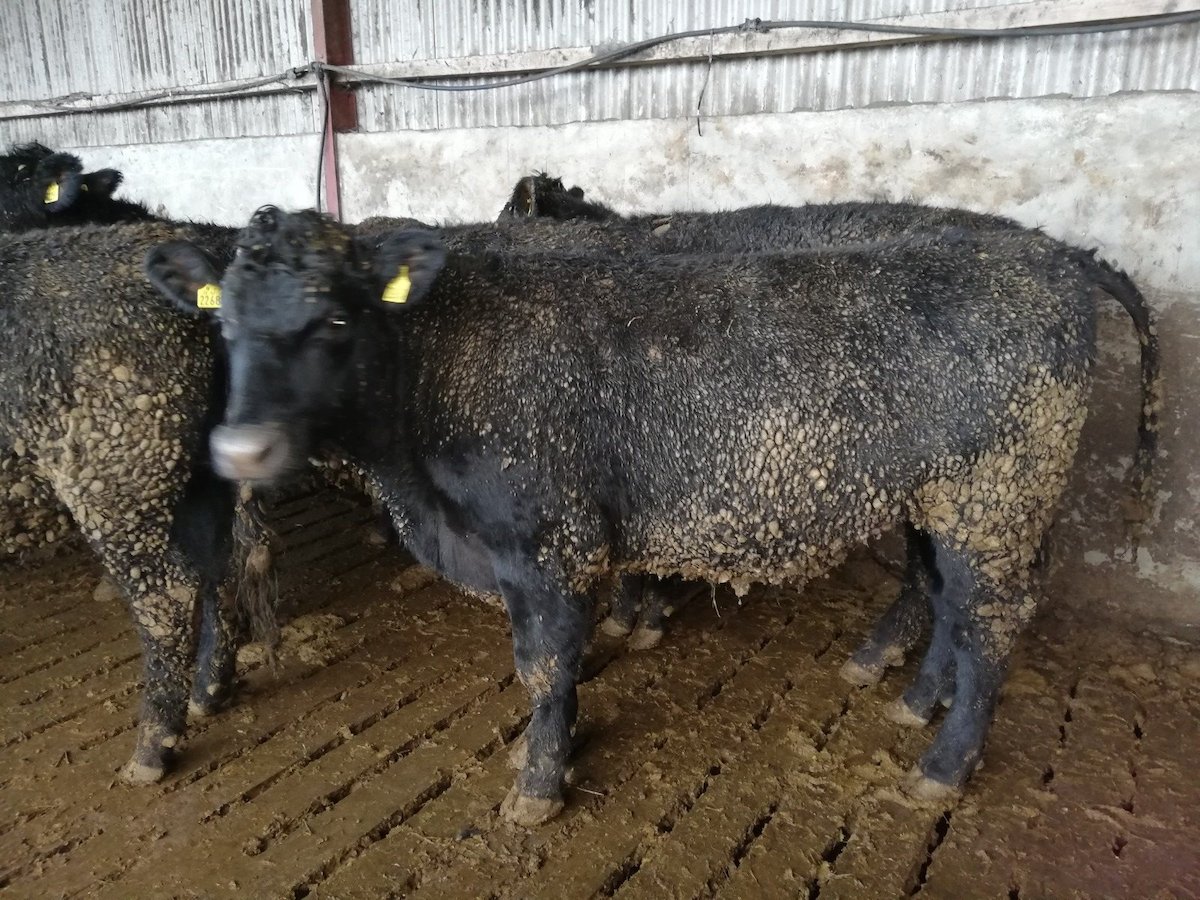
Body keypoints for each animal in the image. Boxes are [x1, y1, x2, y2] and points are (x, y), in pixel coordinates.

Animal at [149, 207, 1119, 825]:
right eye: (223, 326)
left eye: (336, 318)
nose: (240, 451)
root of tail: (1053, 259)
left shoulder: (552, 539)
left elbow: (544, 665)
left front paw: (538, 786)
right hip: (951, 505)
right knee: (952, 604)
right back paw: (916, 700)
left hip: (995, 500)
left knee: (991, 624)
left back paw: (942, 766)